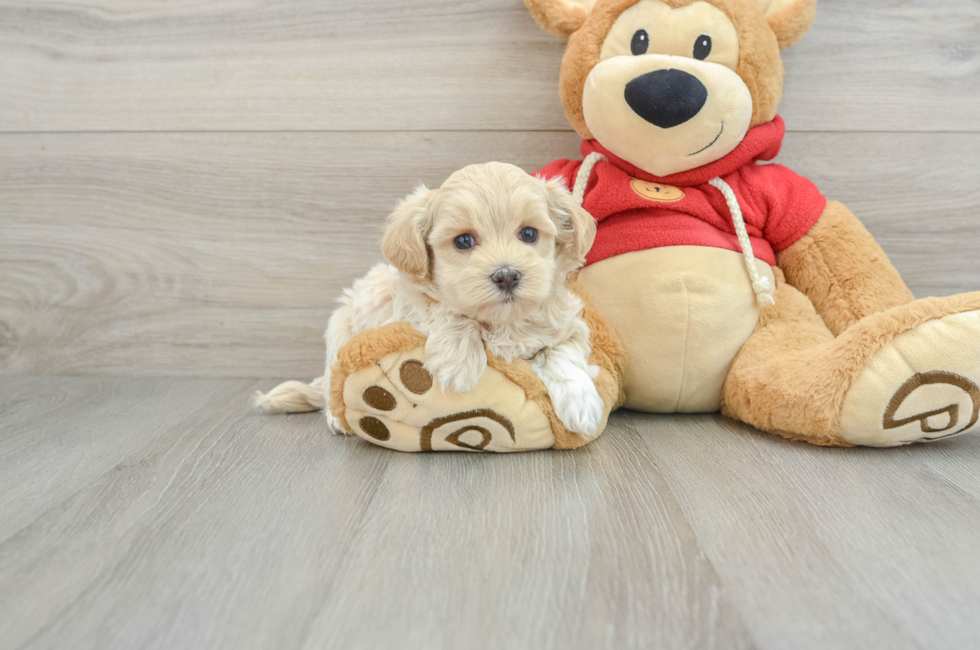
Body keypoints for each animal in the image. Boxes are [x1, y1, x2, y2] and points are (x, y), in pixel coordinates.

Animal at [253, 160, 604, 438]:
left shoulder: (568, 325)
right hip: (339, 335)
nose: (507, 275)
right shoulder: (409, 305)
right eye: (463, 241)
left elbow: (563, 353)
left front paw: (583, 405)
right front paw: (459, 361)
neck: (500, 321)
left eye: (529, 234)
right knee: (331, 388)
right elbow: (446, 309)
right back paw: (337, 419)